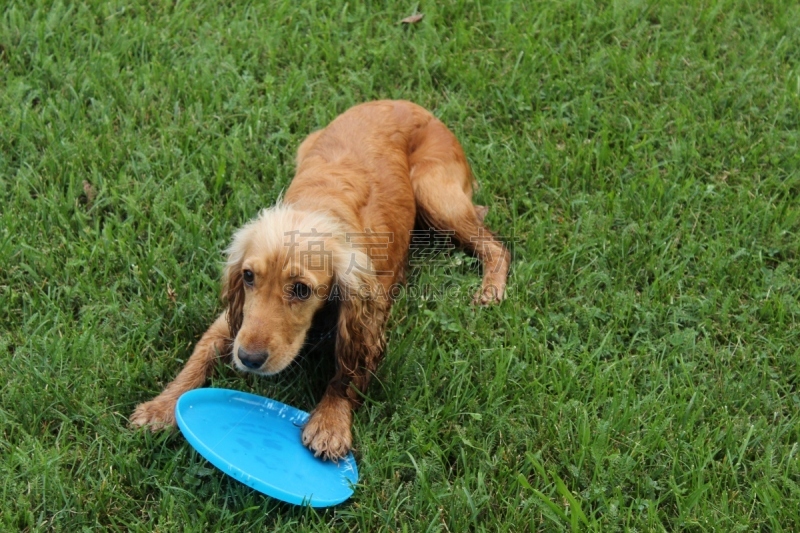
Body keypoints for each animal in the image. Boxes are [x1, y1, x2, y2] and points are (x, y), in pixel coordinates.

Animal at [130, 102, 506, 460]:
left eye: (301, 289)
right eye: (248, 277)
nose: (249, 359)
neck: (320, 207)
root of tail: (410, 104)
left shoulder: (369, 317)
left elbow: (347, 373)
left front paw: (330, 423)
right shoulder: (235, 322)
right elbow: (201, 352)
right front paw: (161, 406)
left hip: (432, 192)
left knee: (496, 246)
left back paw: (491, 288)